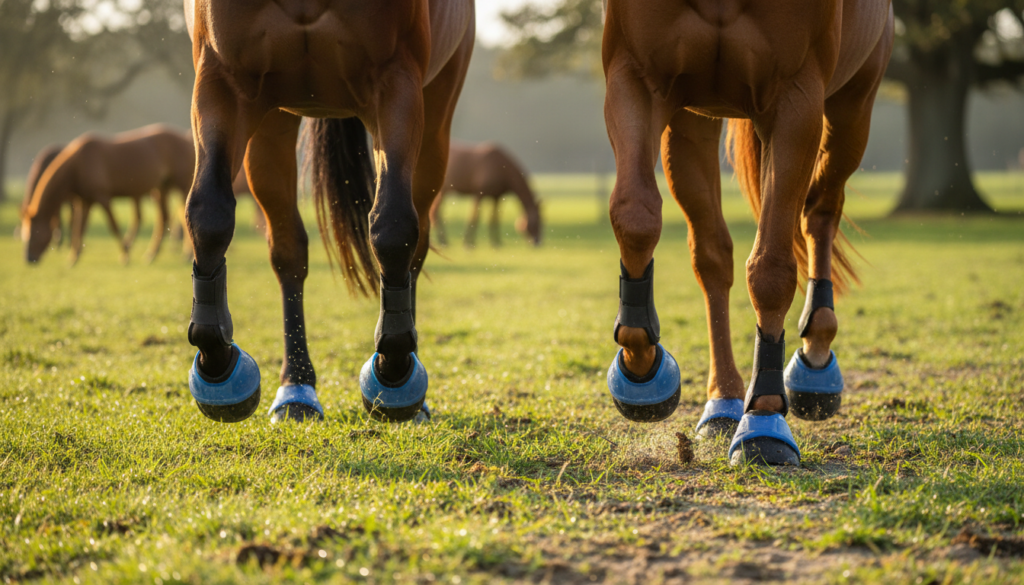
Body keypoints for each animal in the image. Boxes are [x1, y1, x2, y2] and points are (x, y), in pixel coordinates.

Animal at [22, 125, 195, 264]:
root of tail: (188, 140)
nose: (29, 259)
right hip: (161, 188)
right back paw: (152, 255)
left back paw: (187, 254)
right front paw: (74, 257)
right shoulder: (85, 201)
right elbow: (79, 228)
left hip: (181, 187)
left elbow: (113, 226)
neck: (79, 164)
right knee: (163, 219)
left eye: (34, 234)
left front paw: (125, 255)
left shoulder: (102, 198)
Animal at [181, 0, 475, 424]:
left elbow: (393, 227)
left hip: (435, 121)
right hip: (273, 122)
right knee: (288, 251)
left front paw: (393, 372)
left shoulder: (396, 87)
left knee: (415, 247)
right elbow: (208, 214)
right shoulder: (221, 84)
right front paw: (217, 367)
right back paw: (296, 388)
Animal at [601, 0, 893, 466]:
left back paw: (814, 360)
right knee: (712, 253)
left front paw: (764, 419)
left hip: (852, 108)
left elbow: (771, 270)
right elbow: (635, 214)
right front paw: (640, 370)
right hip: (694, 121)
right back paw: (723, 401)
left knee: (820, 212)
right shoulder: (637, 82)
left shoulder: (797, 103)